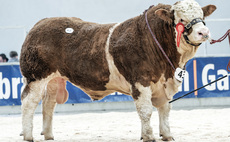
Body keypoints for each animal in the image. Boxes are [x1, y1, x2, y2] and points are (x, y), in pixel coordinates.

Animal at [19, 0, 216, 141]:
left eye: (202, 16)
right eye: (181, 19)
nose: (204, 32)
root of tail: (41, 23)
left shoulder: (163, 84)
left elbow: (165, 109)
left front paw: (167, 135)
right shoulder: (140, 81)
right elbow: (146, 111)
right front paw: (148, 136)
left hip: (54, 79)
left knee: (48, 103)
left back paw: (48, 135)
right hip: (35, 76)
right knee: (29, 103)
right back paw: (28, 136)